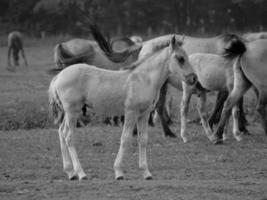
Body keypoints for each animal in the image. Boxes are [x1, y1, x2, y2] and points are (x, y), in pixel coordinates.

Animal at [48, 36, 199, 181]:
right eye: (180, 58)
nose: (194, 78)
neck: (143, 79)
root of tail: (59, 76)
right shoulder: (131, 113)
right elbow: (125, 139)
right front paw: (119, 172)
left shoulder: (144, 114)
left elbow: (143, 140)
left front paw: (146, 173)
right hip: (73, 111)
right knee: (69, 136)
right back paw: (81, 173)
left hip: (68, 113)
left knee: (61, 132)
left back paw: (70, 173)